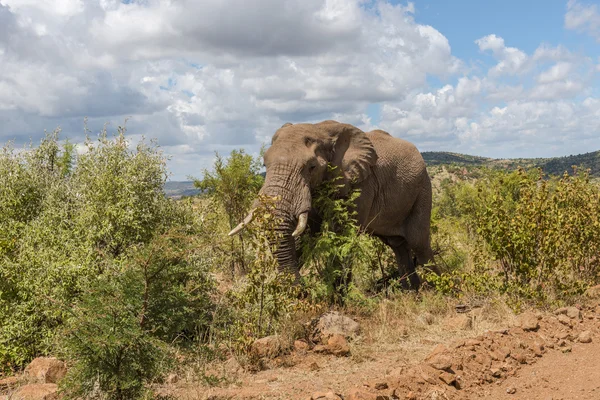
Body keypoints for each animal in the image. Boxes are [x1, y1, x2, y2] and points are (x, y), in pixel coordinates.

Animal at [229, 119, 440, 290]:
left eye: (312, 167)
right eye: (265, 164)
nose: (303, 290)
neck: (320, 129)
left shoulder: (361, 184)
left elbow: (342, 234)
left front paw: (338, 298)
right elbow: (305, 234)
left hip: (423, 188)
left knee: (418, 242)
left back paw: (435, 290)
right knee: (398, 245)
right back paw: (411, 293)